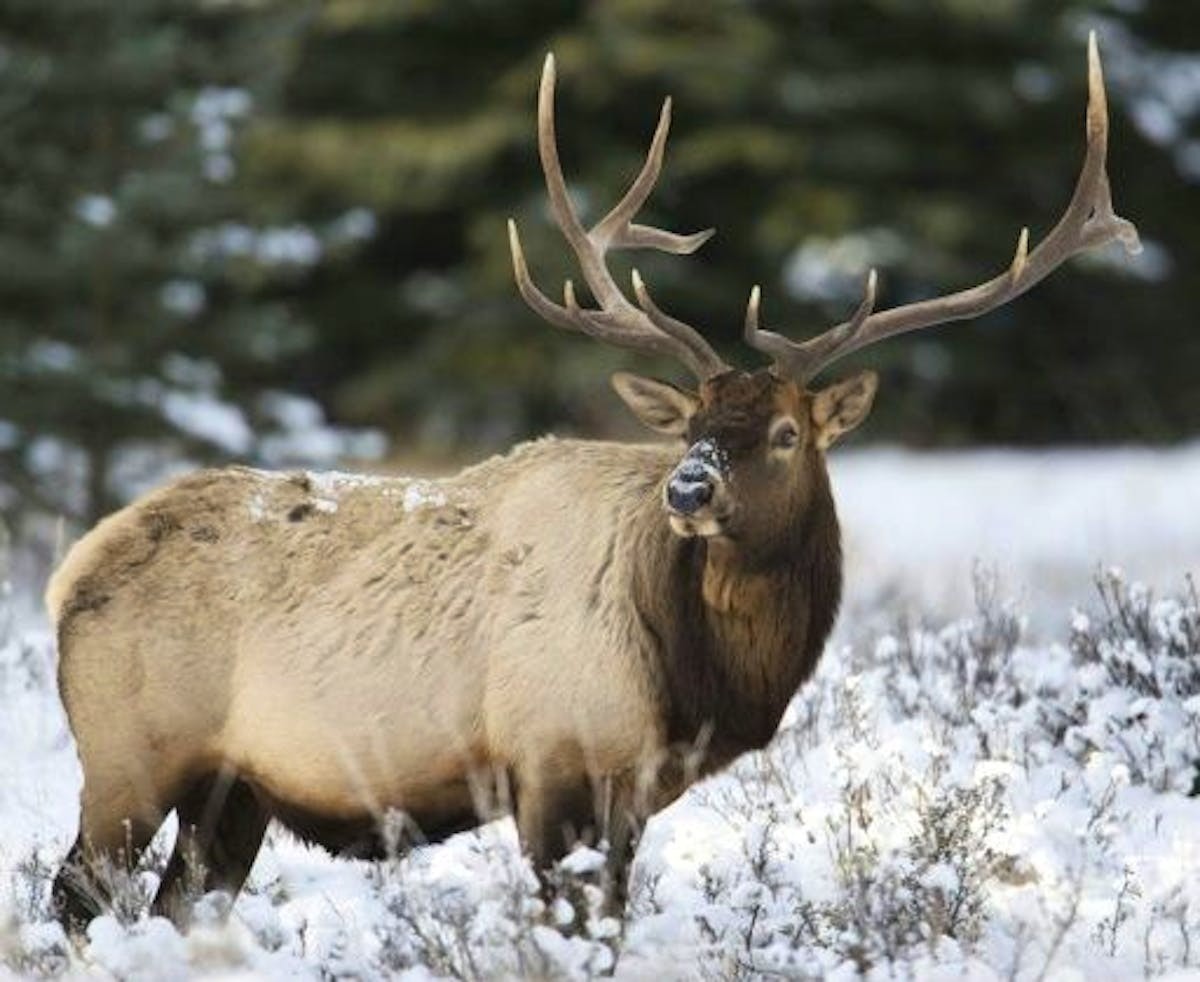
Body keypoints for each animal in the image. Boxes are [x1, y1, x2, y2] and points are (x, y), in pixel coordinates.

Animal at [51, 38, 1137, 926]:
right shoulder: (549, 758)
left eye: (787, 432)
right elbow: (563, 922)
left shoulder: (632, 793)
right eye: (693, 426)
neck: (698, 682)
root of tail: (71, 570)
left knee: (177, 904)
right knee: (74, 895)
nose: (689, 493)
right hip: (128, 756)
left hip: (233, 793)